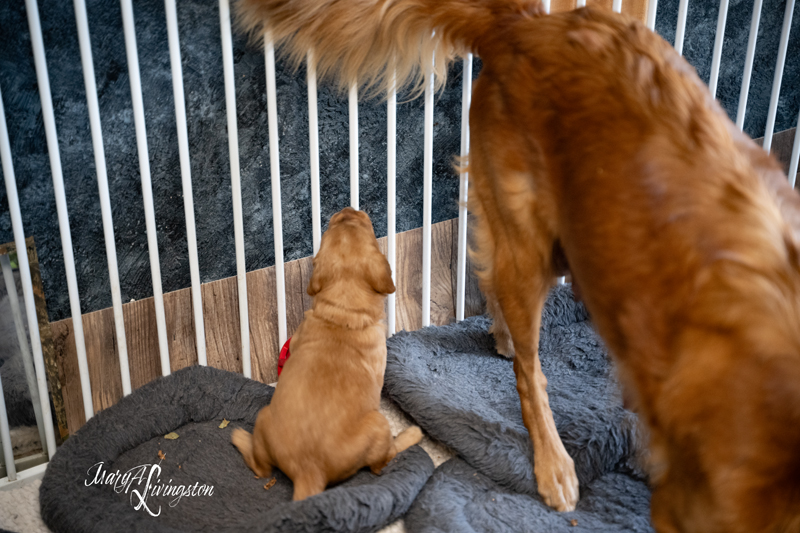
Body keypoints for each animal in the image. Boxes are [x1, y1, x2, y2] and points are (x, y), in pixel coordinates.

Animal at [231, 207, 422, 498]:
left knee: (261, 467)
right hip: (379, 424)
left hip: (264, 416)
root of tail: (308, 471)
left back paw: (242, 438)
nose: (348, 209)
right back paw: (410, 436)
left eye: (337, 224)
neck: (343, 313)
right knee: (381, 462)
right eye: (367, 227)